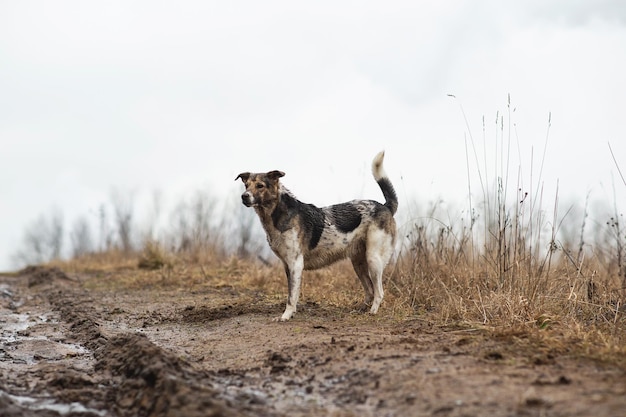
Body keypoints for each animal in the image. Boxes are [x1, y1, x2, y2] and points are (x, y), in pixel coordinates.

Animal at [234, 151, 394, 320]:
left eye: (260, 186)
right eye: (246, 185)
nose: (244, 196)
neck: (278, 213)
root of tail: (385, 206)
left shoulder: (296, 263)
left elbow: (292, 296)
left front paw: (285, 316)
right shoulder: (287, 265)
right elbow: (292, 293)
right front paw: (290, 313)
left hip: (374, 259)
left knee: (379, 292)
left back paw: (373, 312)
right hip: (358, 263)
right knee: (370, 289)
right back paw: (360, 310)